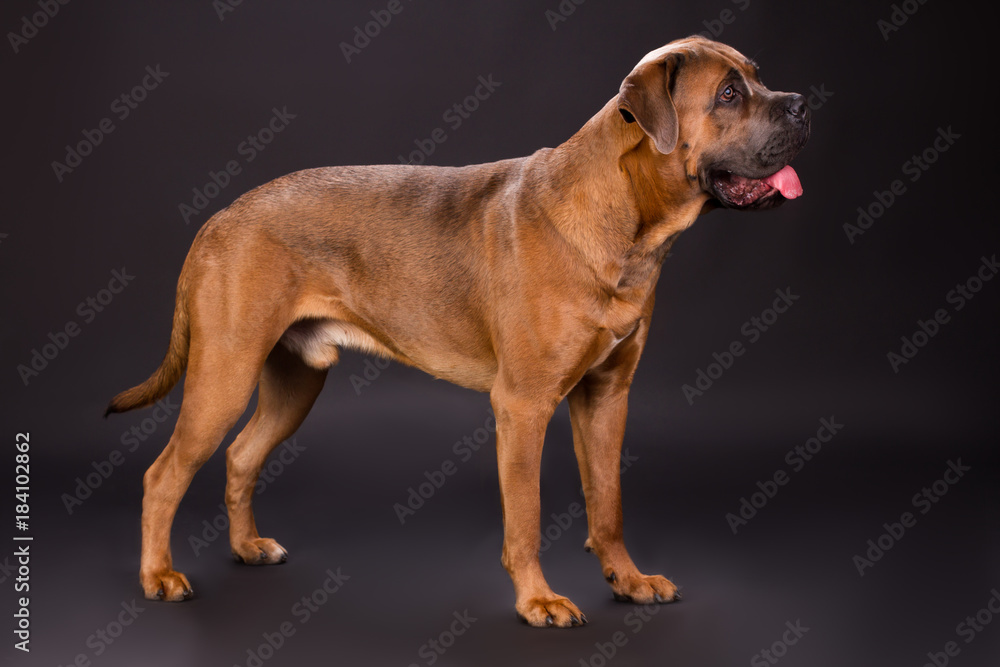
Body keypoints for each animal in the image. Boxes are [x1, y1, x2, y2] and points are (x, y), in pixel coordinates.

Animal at [107, 36, 812, 628]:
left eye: (756, 77)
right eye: (729, 93)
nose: (804, 105)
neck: (624, 213)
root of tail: (219, 217)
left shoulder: (607, 396)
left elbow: (607, 504)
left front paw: (628, 580)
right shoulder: (523, 407)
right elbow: (525, 516)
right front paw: (538, 601)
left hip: (295, 382)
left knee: (240, 455)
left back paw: (246, 546)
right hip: (223, 376)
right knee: (163, 475)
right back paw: (159, 575)